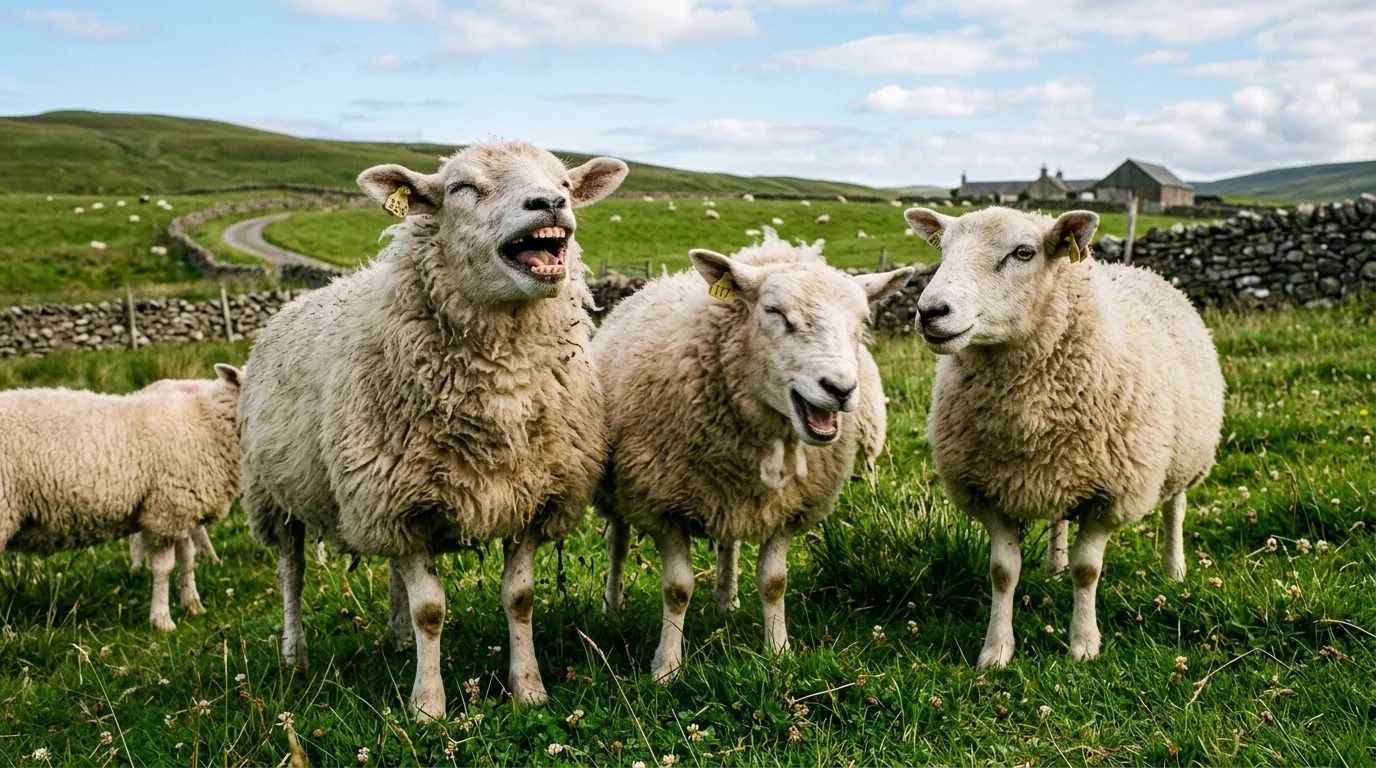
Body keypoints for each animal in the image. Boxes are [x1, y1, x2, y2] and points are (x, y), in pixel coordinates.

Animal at [0, 365, 244, 631]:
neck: (206, 423)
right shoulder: (164, 512)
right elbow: (164, 568)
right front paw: (162, 620)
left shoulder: (181, 510)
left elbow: (187, 560)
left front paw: (193, 606)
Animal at [238, 140, 627, 720]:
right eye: (462, 187)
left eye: (563, 180)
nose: (551, 203)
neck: (503, 384)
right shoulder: (395, 504)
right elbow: (431, 609)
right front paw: (427, 705)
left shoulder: (531, 498)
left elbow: (519, 598)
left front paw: (528, 688)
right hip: (275, 497)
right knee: (292, 574)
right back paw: (294, 655)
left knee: (391, 573)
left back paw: (398, 641)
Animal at [595, 228, 914, 682]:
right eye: (775, 312)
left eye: (863, 323)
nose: (840, 389)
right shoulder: (663, 504)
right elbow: (677, 589)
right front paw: (667, 668)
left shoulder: (788, 506)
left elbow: (774, 582)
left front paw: (778, 652)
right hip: (619, 489)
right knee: (618, 544)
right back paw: (613, 607)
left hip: (729, 496)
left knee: (728, 544)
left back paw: (725, 599)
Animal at [904, 205, 1224, 668]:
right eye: (942, 250)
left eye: (1024, 252)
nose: (930, 311)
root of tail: (1138, 267)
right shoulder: (988, 491)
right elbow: (1003, 572)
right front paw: (996, 650)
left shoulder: (1112, 493)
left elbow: (1087, 570)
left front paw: (1084, 645)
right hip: (1061, 472)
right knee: (1059, 520)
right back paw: (1054, 568)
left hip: (1186, 457)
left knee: (1174, 510)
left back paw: (1174, 569)